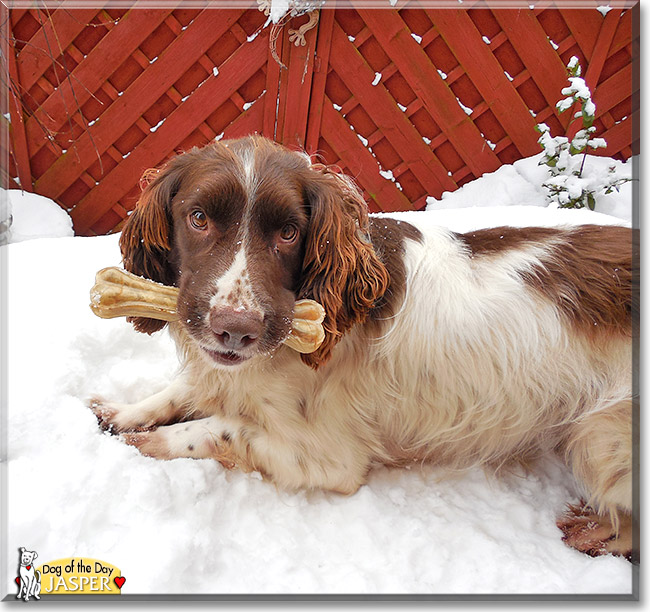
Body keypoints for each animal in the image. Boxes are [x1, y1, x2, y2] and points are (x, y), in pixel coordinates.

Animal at [91, 136, 632, 560]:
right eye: (198, 218)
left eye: (289, 233)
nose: (236, 330)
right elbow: (181, 391)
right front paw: (123, 413)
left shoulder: (327, 457)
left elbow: (216, 429)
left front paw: (146, 443)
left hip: (601, 436)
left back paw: (594, 532)